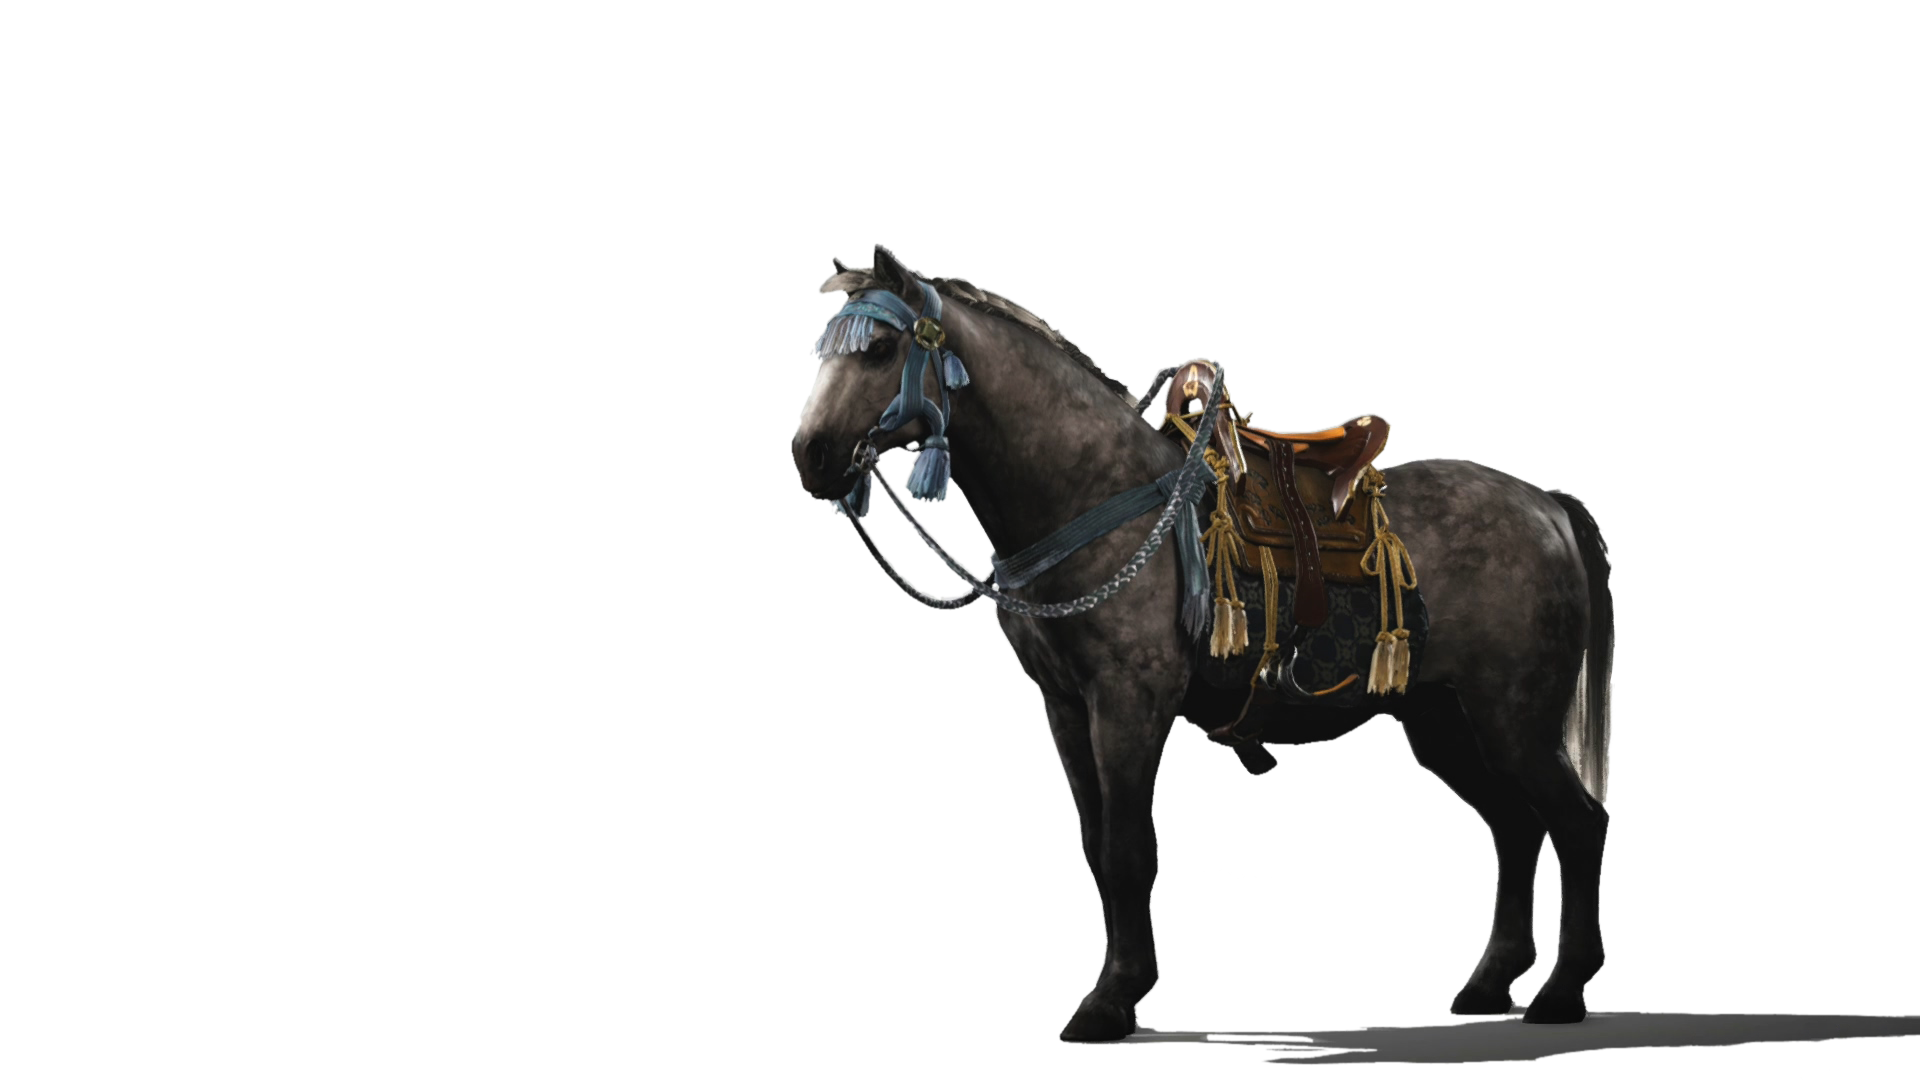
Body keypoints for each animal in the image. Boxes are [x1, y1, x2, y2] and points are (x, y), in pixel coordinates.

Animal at [790, 247, 1613, 1042]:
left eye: (882, 348)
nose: (811, 457)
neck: (1097, 495)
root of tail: (1545, 507)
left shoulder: (1131, 699)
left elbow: (1129, 847)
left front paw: (1111, 999)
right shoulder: (1065, 705)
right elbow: (1094, 843)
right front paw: (1120, 987)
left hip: (1513, 715)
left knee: (1578, 823)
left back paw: (1562, 990)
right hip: (1443, 719)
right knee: (1517, 826)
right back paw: (1492, 981)